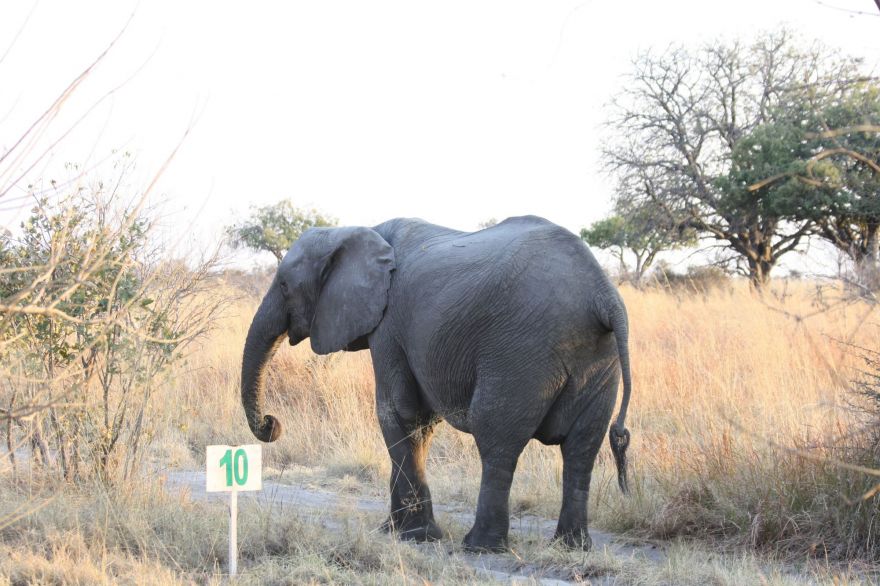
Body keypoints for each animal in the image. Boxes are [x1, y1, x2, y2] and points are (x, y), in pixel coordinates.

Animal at [241, 216, 632, 552]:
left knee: (498, 440)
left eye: (284, 286)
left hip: (521, 352)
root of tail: (603, 295)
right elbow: (421, 423)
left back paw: (480, 547)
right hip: (598, 359)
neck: (359, 230)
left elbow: (398, 413)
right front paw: (393, 531)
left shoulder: (389, 326)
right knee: (582, 448)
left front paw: (417, 537)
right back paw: (572, 546)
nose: (272, 424)